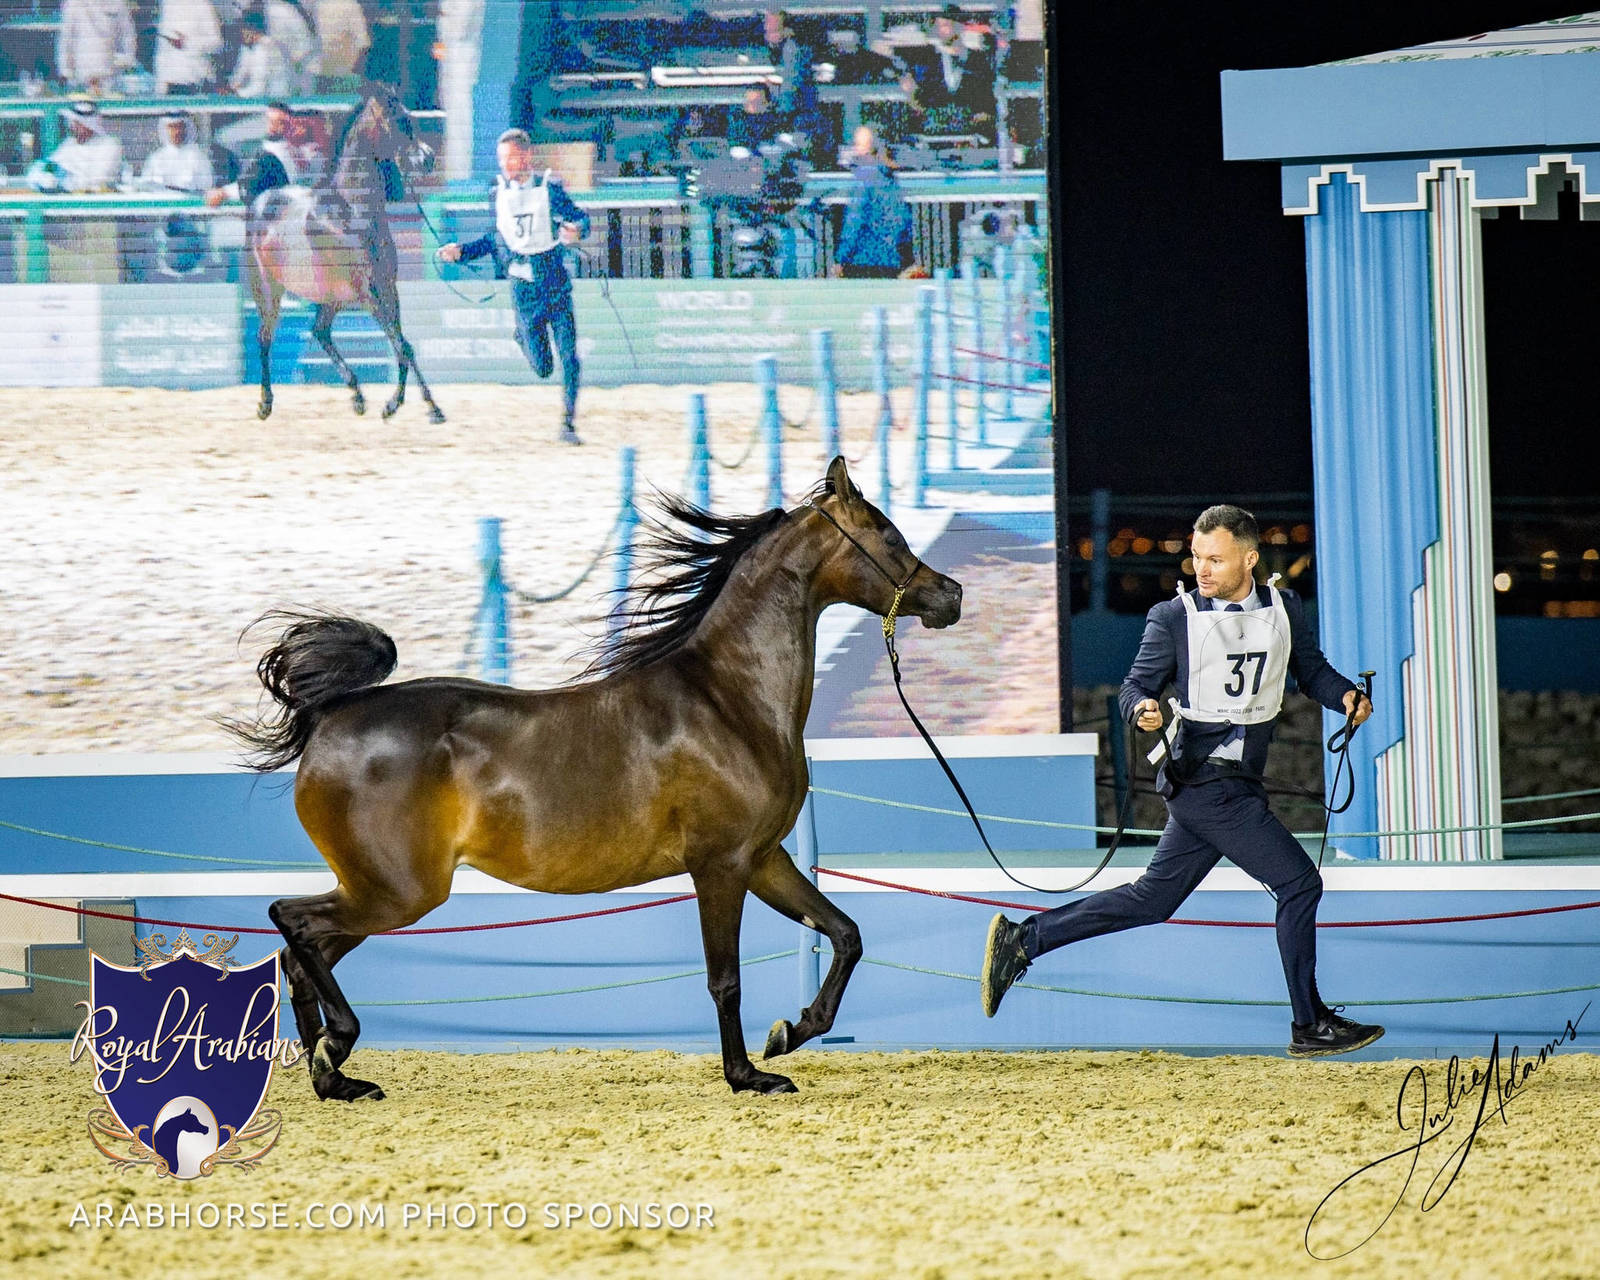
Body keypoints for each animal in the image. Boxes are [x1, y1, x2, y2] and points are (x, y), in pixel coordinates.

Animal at [225, 457, 962, 1100]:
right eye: (888, 533)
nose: (950, 596)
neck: (728, 701)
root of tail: (330, 716)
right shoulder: (719, 866)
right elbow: (724, 979)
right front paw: (747, 1075)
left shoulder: (763, 858)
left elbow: (845, 933)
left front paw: (791, 1032)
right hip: (397, 892)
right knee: (291, 923)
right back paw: (337, 1048)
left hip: (380, 891)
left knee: (299, 954)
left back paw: (335, 1078)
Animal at [248, 86, 444, 424]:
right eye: (399, 120)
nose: (428, 158)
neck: (352, 211)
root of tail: (262, 199)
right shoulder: (368, 294)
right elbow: (401, 345)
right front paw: (398, 405)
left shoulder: (388, 289)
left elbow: (404, 345)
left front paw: (424, 407)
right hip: (269, 292)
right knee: (264, 338)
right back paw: (265, 403)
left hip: (331, 298)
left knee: (320, 331)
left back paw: (358, 396)